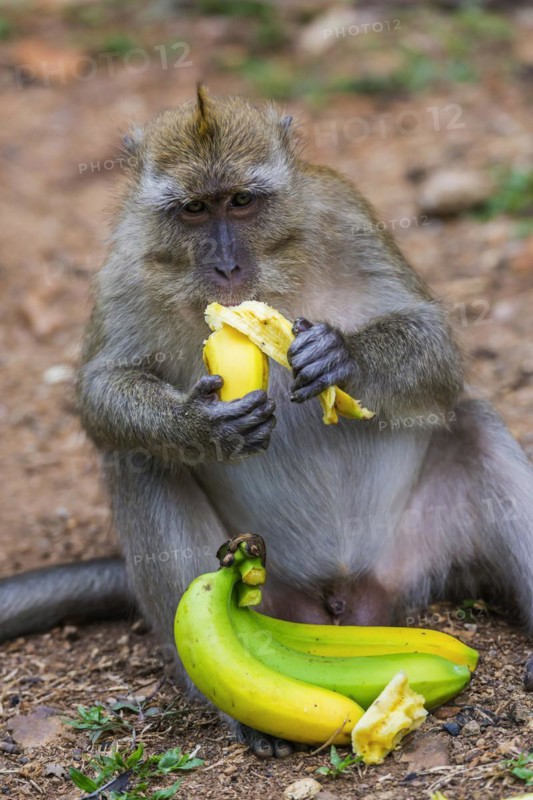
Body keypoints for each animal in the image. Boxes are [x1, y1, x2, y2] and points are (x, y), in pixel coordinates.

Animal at [2, 86, 533, 759]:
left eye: (242, 201)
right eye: (195, 209)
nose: (227, 267)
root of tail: (343, 596)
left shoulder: (343, 214)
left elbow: (437, 348)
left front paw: (342, 358)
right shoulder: (127, 260)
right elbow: (102, 389)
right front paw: (199, 426)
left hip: (418, 549)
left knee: (473, 424)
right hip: (273, 590)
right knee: (138, 459)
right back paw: (232, 702)